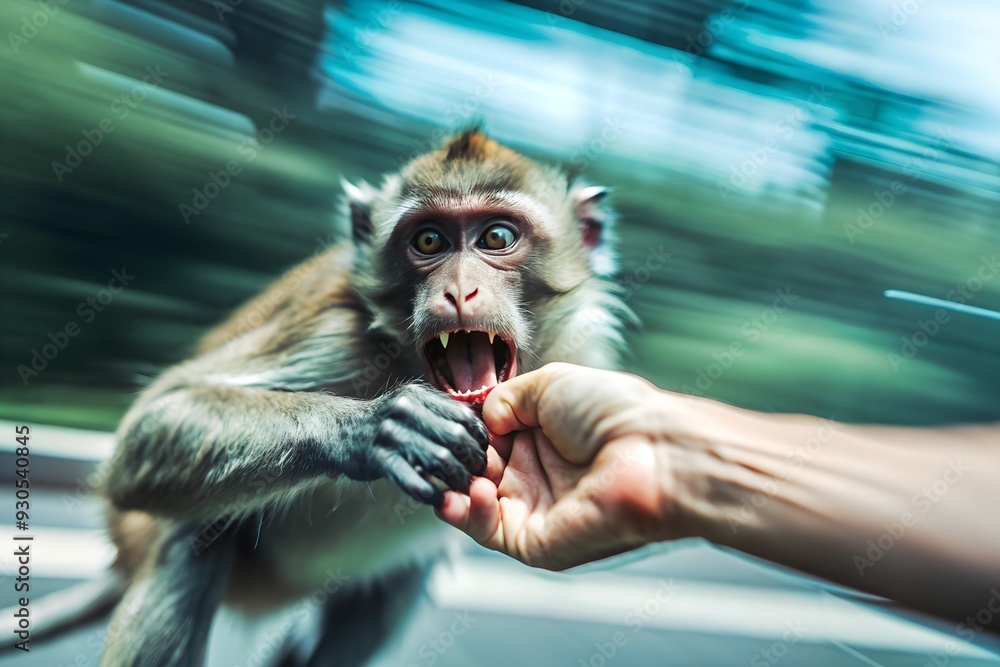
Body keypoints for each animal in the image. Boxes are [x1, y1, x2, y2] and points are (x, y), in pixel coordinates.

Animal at [93, 128, 633, 666]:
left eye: (497, 238)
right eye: (429, 240)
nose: (460, 291)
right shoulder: (336, 333)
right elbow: (155, 421)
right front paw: (377, 430)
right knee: (190, 539)